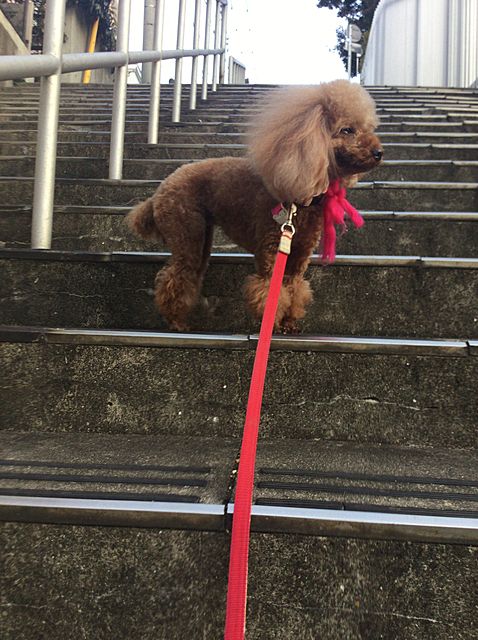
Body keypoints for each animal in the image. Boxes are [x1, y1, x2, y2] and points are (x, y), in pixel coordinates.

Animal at [127, 80, 382, 333]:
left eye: (369, 128)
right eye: (347, 130)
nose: (379, 152)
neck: (304, 200)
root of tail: (160, 190)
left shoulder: (300, 255)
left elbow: (294, 289)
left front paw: (289, 322)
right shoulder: (271, 248)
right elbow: (269, 292)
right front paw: (272, 324)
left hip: (201, 234)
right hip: (185, 229)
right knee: (175, 277)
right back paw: (176, 322)